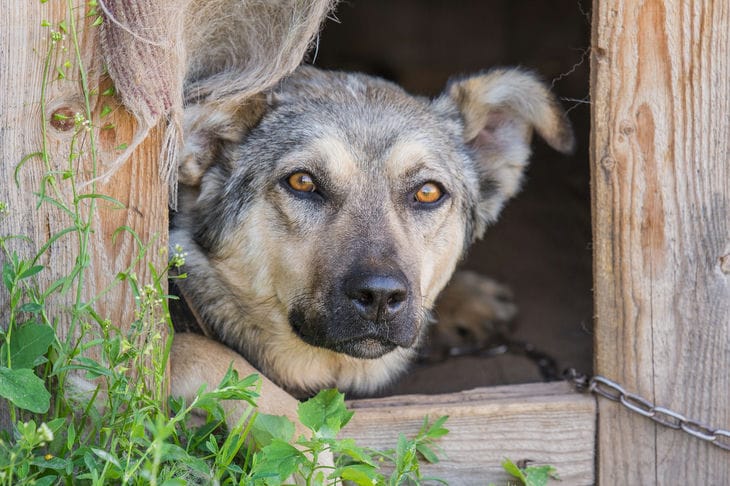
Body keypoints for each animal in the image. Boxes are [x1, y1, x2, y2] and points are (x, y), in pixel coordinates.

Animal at [168, 65, 572, 430]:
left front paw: (468, 297)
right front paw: (304, 444)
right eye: (302, 182)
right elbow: (199, 351)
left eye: (428, 192)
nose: (380, 296)